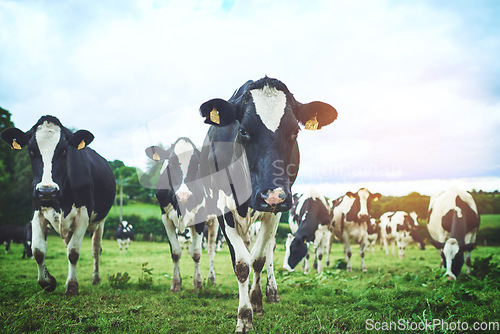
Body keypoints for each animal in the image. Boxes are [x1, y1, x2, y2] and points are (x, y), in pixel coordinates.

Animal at [0, 115, 115, 294]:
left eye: (64, 150)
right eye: (31, 151)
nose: (47, 191)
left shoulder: (83, 215)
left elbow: (73, 252)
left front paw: (72, 286)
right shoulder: (37, 212)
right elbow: (38, 251)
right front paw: (48, 281)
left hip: (100, 222)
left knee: (96, 250)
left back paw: (95, 278)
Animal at [146, 137, 221, 290]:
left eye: (197, 164)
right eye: (170, 163)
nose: (183, 196)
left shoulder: (200, 218)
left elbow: (197, 253)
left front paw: (198, 283)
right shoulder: (166, 218)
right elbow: (175, 252)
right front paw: (176, 283)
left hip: (215, 220)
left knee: (210, 249)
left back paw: (211, 279)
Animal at [198, 76, 336, 332]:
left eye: (295, 131)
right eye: (243, 131)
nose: (272, 195)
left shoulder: (275, 211)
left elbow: (259, 259)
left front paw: (257, 302)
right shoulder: (225, 209)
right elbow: (241, 263)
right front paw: (244, 317)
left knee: (268, 249)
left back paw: (270, 292)